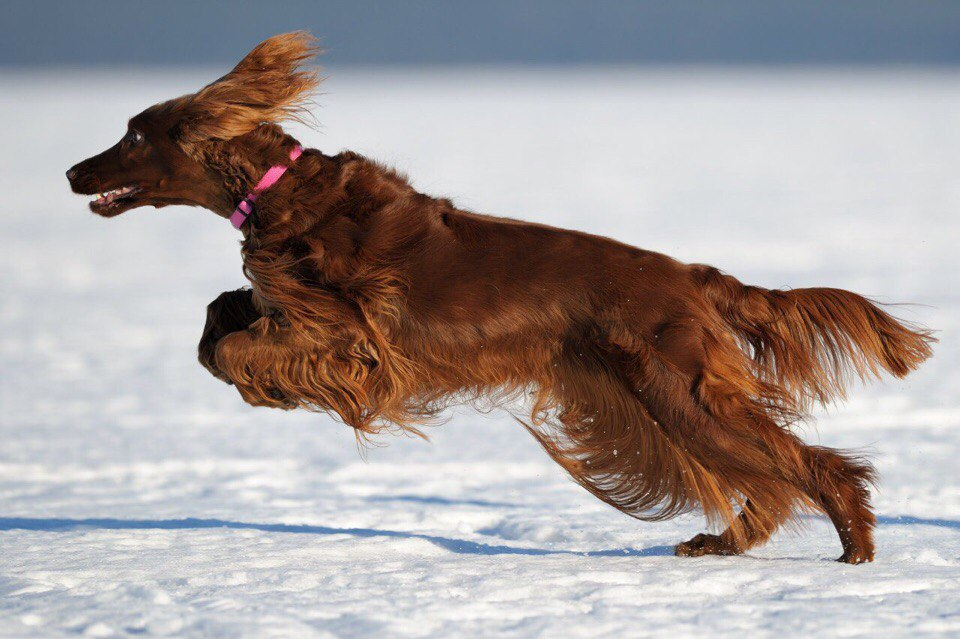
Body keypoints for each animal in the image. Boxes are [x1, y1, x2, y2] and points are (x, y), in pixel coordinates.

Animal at [65, 32, 928, 564]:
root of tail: (690, 275)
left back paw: (854, 551)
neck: (280, 191)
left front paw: (262, 382)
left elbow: (238, 344)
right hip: (651, 396)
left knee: (810, 465)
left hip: (676, 389)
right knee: (773, 479)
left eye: (135, 135)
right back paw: (723, 542)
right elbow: (221, 317)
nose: (72, 170)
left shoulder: (357, 333)